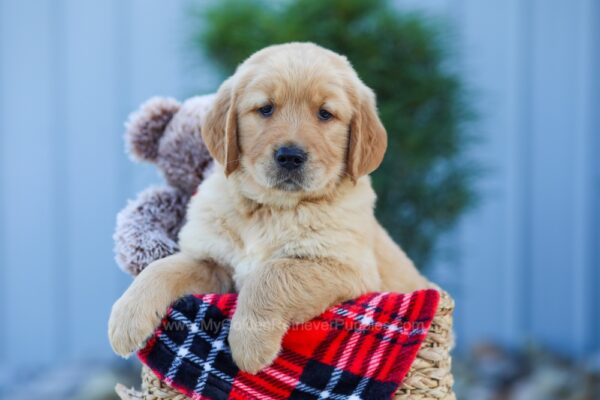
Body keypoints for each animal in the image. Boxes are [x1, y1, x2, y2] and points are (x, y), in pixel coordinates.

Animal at [108, 42, 426, 374]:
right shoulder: (211, 261)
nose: (290, 156)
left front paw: (250, 344)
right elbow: (162, 268)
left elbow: (272, 274)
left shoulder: (346, 268)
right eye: (265, 109)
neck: (270, 208)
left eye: (325, 114)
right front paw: (127, 316)